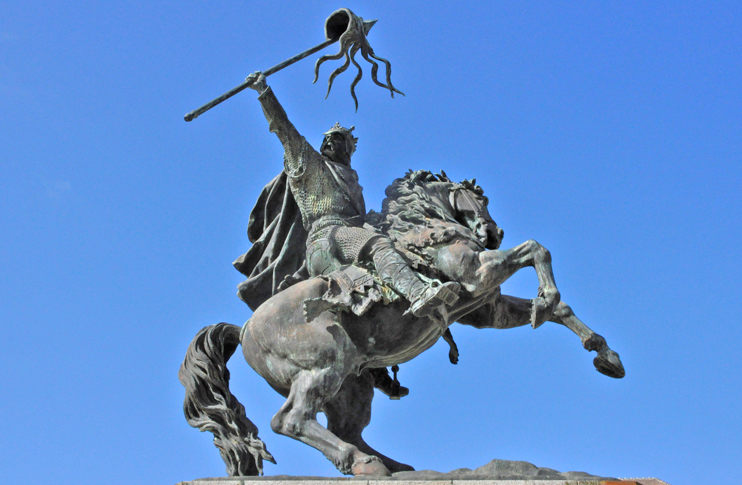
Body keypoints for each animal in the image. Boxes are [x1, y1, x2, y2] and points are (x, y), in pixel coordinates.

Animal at [180, 170, 628, 476]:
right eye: (476, 198)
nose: (493, 232)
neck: (424, 227)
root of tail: (245, 329)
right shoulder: (477, 275)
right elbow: (536, 248)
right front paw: (546, 297)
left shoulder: (486, 307)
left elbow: (558, 309)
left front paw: (604, 355)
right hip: (325, 363)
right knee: (291, 420)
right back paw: (359, 462)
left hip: (352, 386)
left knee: (344, 427)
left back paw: (388, 466)